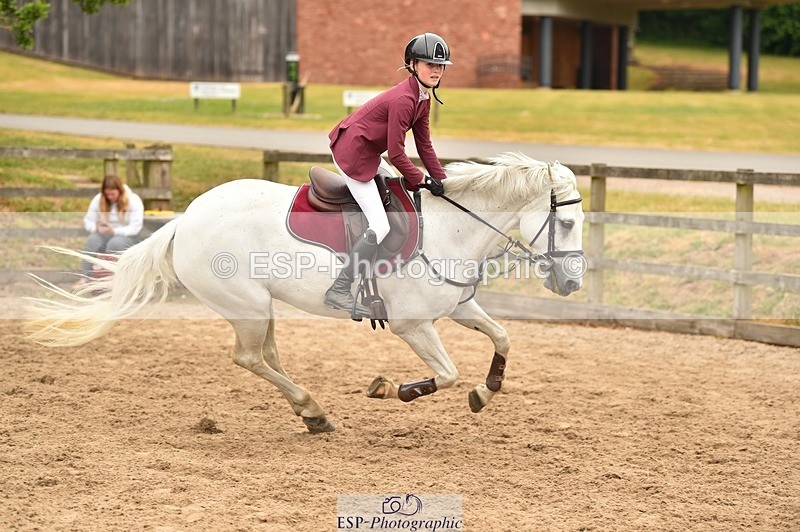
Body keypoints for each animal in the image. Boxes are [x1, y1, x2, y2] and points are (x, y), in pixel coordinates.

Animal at [27, 152, 585, 433]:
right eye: (568, 222)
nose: (571, 284)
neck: (452, 227)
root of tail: (186, 218)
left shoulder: (459, 306)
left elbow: (503, 339)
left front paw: (484, 392)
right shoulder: (413, 325)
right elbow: (445, 374)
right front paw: (392, 388)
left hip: (260, 305)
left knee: (267, 356)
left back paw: (309, 412)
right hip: (247, 306)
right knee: (249, 357)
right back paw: (312, 408)